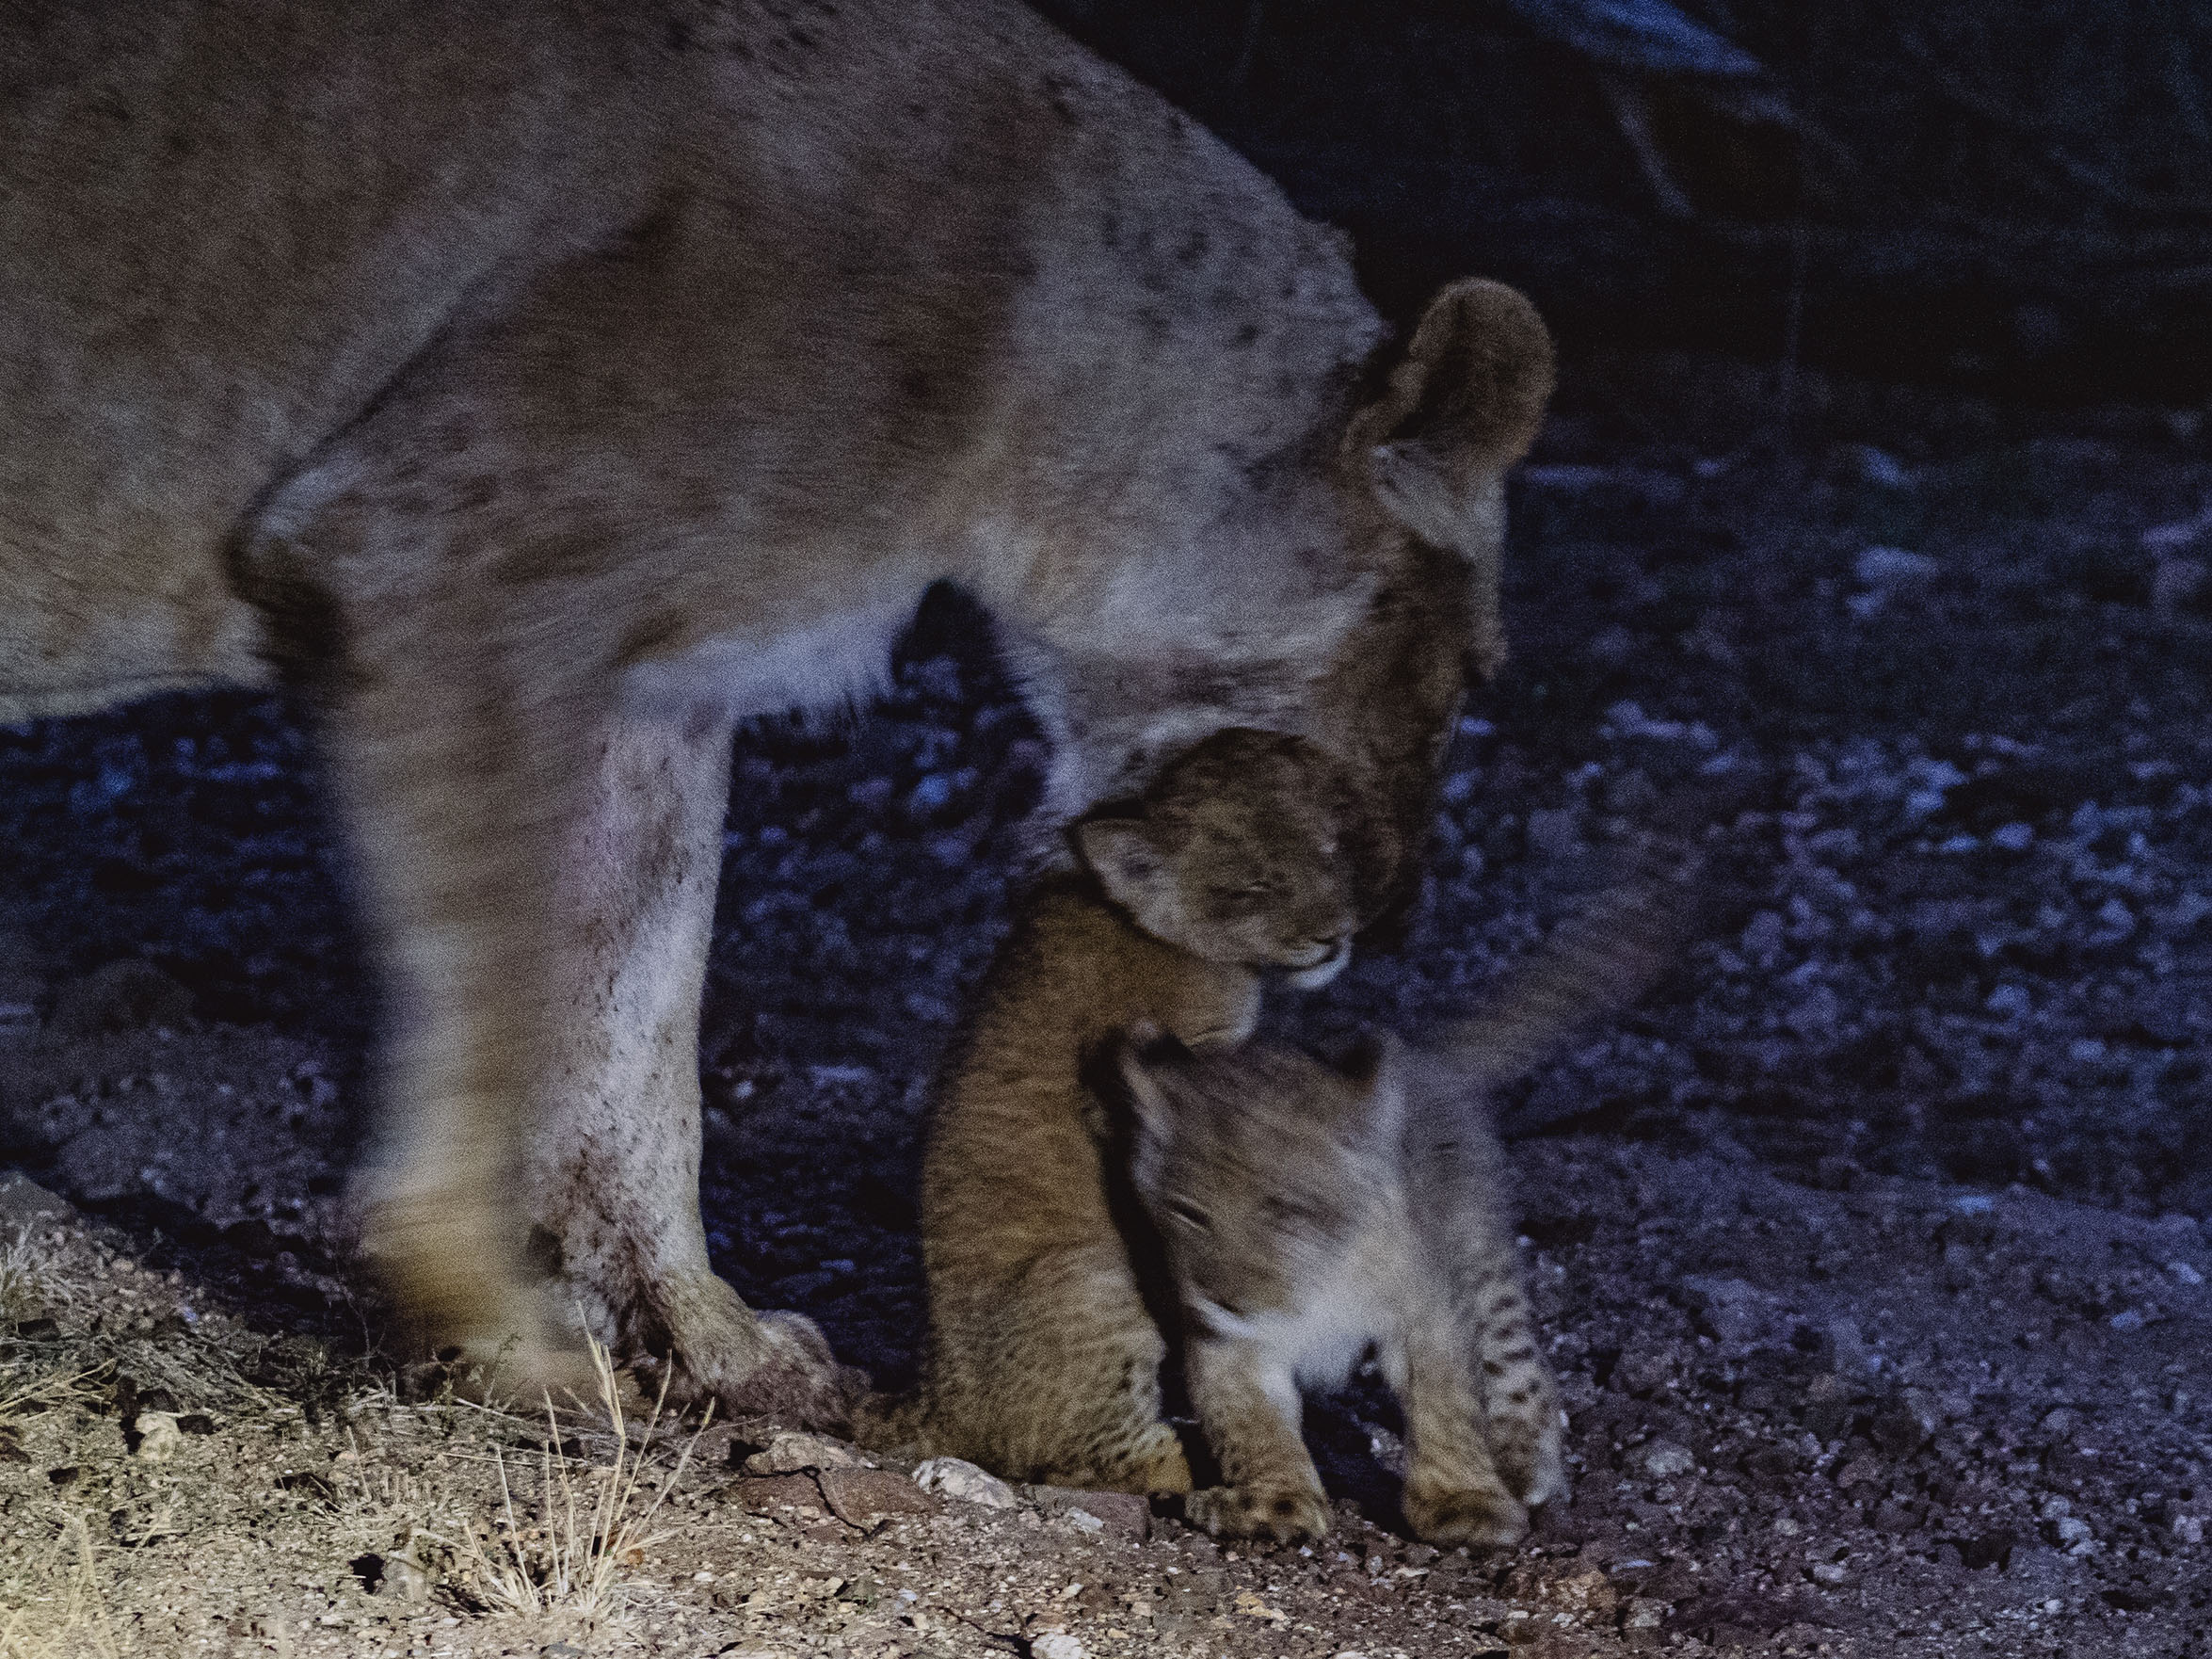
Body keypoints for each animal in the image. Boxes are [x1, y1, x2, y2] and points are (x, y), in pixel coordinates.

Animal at [0, 0, 1553, 1418]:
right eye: (1469, 667)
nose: (1387, 918)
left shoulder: (655, 688)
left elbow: (643, 1022)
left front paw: (711, 1335)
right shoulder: (425, 563)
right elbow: (494, 1011)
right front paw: (499, 1330)